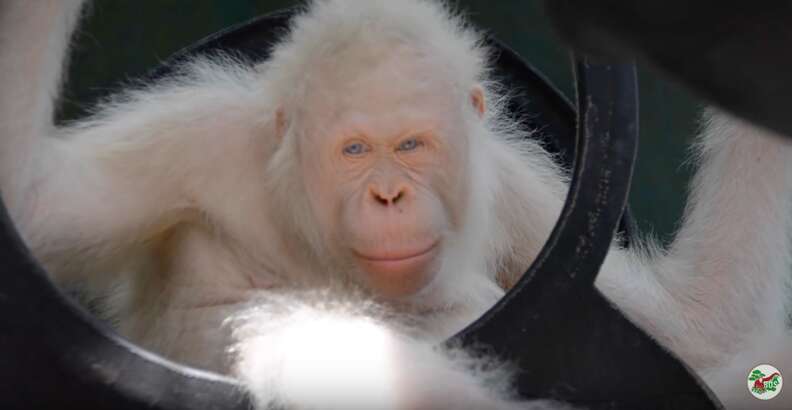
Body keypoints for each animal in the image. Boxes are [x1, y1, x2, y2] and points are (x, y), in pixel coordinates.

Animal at [0, 0, 790, 408]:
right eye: (354, 150)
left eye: (412, 145)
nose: (389, 193)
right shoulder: (196, 143)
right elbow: (34, 203)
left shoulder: (502, 181)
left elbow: (697, 321)